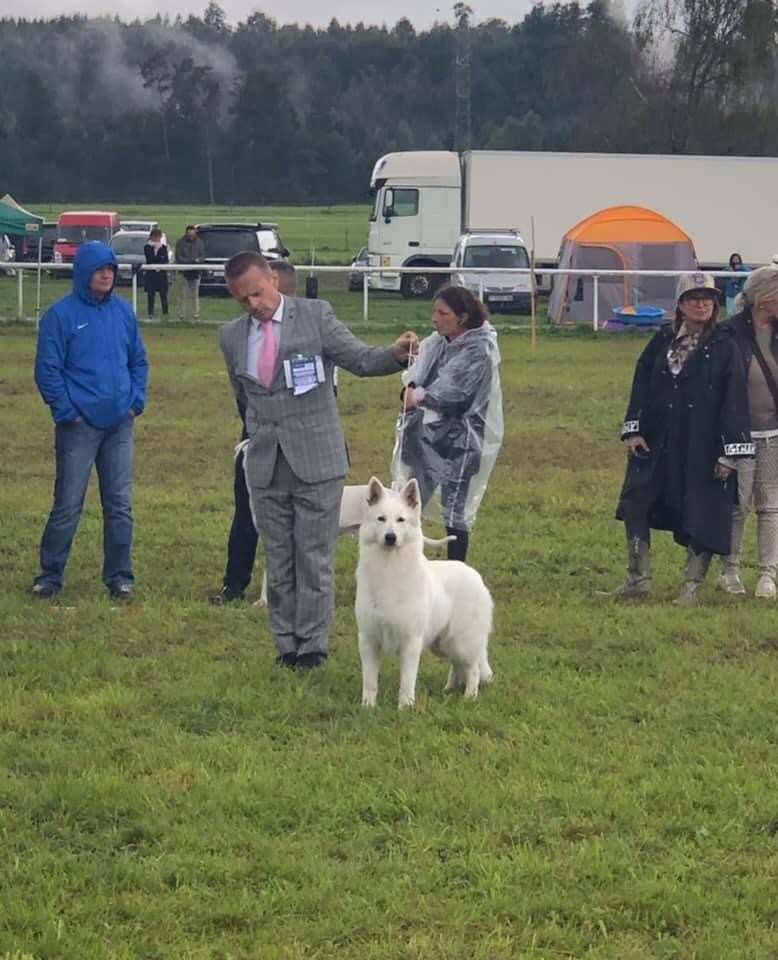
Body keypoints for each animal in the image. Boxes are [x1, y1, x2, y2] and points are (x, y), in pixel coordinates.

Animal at [354, 476, 494, 708]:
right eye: (381, 519)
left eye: (400, 520)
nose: (390, 537)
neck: (388, 570)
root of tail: (474, 574)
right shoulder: (368, 640)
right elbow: (370, 681)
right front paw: (368, 707)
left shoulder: (411, 642)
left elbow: (407, 681)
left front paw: (405, 707)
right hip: (442, 643)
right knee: (457, 666)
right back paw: (449, 690)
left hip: (461, 641)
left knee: (472, 668)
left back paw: (469, 697)